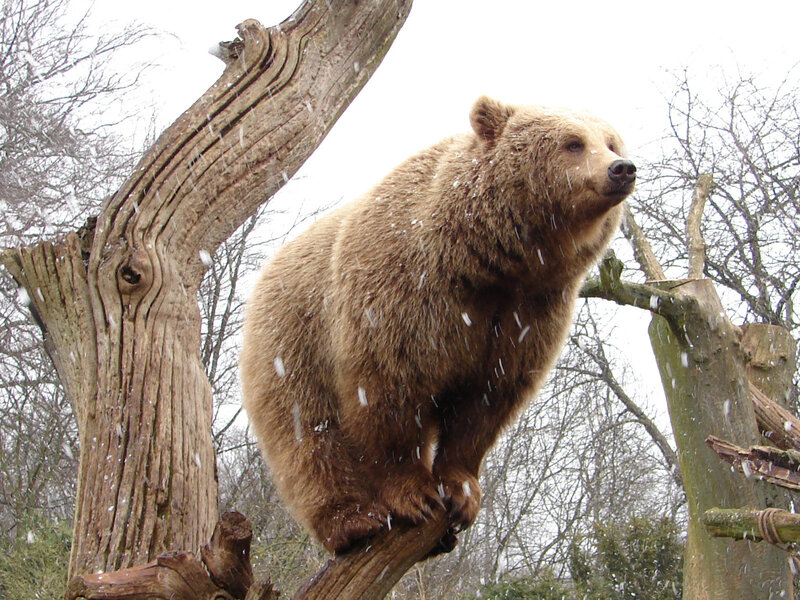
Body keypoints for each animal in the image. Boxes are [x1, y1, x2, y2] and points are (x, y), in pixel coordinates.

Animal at [240, 96, 636, 555]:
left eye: (610, 140)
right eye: (573, 143)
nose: (622, 168)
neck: (488, 262)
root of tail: (267, 270)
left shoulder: (528, 313)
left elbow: (487, 400)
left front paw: (461, 490)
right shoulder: (404, 293)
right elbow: (387, 388)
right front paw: (415, 494)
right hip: (293, 337)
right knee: (307, 431)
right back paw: (352, 519)